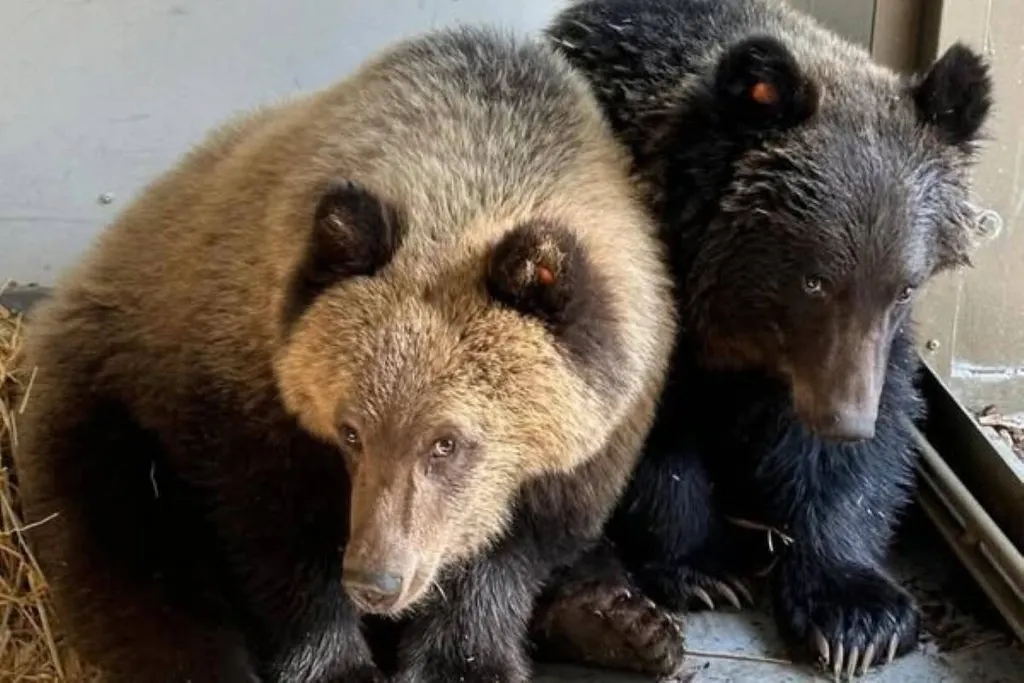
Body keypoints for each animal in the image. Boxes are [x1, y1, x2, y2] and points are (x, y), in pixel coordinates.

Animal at [11, 25, 678, 683]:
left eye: (447, 442)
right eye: (351, 431)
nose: (377, 580)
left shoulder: (586, 449)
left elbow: (507, 560)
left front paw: (464, 660)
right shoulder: (251, 395)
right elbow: (280, 544)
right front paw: (338, 663)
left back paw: (621, 623)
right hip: (103, 400)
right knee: (135, 560)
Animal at [543, 0, 994, 678]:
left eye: (905, 286)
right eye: (813, 280)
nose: (843, 420)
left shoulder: (870, 350)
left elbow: (869, 449)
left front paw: (857, 616)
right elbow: (642, 439)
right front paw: (706, 567)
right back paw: (607, 617)